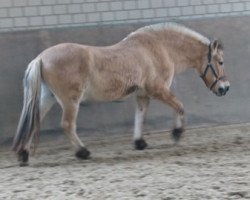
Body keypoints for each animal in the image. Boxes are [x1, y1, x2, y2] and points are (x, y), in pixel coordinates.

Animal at [12, 22, 229, 166]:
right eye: (220, 61)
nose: (225, 88)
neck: (158, 48)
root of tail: (40, 58)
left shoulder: (142, 95)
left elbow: (140, 117)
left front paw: (140, 143)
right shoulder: (158, 90)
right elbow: (180, 106)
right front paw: (176, 134)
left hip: (47, 99)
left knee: (33, 124)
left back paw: (24, 155)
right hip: (70, 101)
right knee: (67, 125)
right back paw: (83, 152)